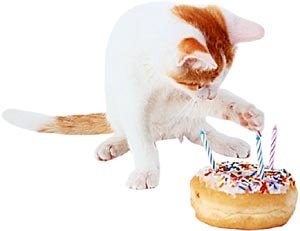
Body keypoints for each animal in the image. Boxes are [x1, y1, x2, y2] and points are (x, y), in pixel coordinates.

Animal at [2, 2, 264, 189]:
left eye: (220, 80)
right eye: (200, 84)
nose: (209, 95)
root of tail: (166, 133)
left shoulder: (182, 98)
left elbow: (217, 103)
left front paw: (245, 113)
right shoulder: (135, 100)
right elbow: (141, 139)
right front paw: (146, 171)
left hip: (186, 121)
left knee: (198, 130)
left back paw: (227, 140)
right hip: (115, 105)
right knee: (129, 131)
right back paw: (113, 144)